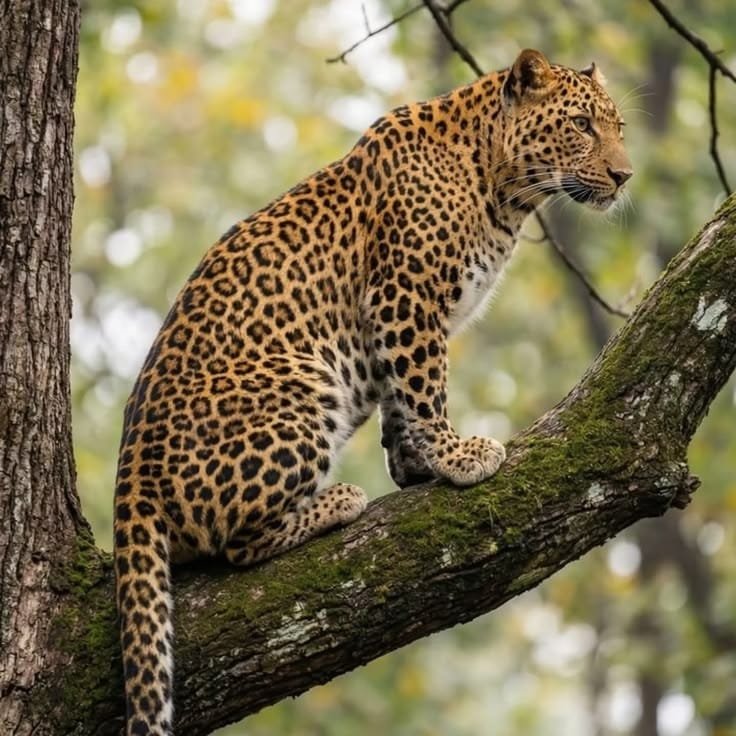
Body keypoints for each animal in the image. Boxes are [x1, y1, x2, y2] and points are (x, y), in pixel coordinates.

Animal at [113, 48, 632, 735]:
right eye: (580, 124)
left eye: (619, 126)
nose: (625, 176)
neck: (501, 185)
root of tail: (131, 477)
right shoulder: (403, 296)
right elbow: (425, 386)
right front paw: (458, 457)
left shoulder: (398, 319)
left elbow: (399, 394)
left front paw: (416, 465)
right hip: (304, 383)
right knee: (233, 547)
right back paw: (339, 501)